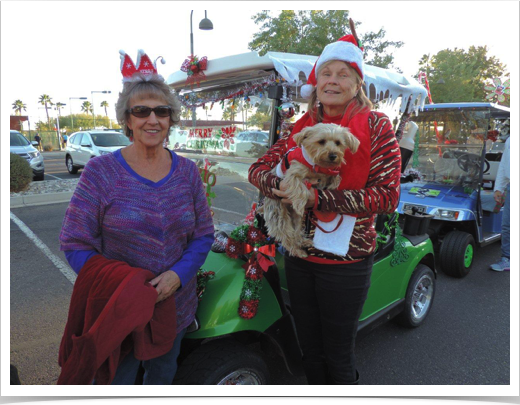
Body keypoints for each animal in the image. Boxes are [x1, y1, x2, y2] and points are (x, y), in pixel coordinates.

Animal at [262, 121, 360, 258]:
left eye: (338, 143)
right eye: (321, 141)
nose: (333, 155)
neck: (318, 166)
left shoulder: (325, 174)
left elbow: (336, 176)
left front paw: (333, 184)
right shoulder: (292, 175)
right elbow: (301, 188)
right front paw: (299, 204)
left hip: (296, 218)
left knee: (297, 229)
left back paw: (303, 241)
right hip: (279, 214)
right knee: (286, 235)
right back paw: (297, 250)